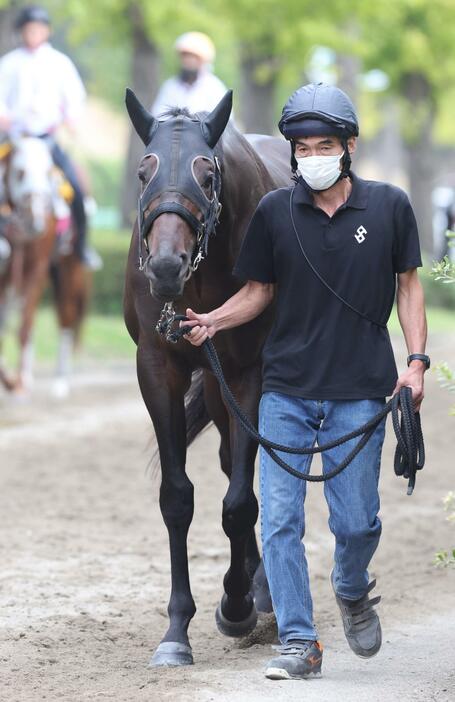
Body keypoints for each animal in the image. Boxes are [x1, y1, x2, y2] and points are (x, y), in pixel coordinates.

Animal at [0, 136, 90, 396]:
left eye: (49, 173)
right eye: (20, 172)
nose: (36, 221)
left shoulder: (36, 268)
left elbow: (24, 325)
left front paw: (17, 382)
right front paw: (11, 379)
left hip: (69, 269)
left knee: (66, 316)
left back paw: (59, 381)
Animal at [123, 91, 290, 668]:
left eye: (208, 173)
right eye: (144, 171)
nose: (166, 265)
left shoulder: (247, 370)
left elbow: (239, 502)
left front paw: (237, 604)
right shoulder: (158, 366)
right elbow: (177, 498)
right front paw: (177, 631)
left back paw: (260, 593)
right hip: (213, 390)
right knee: (226, 459)